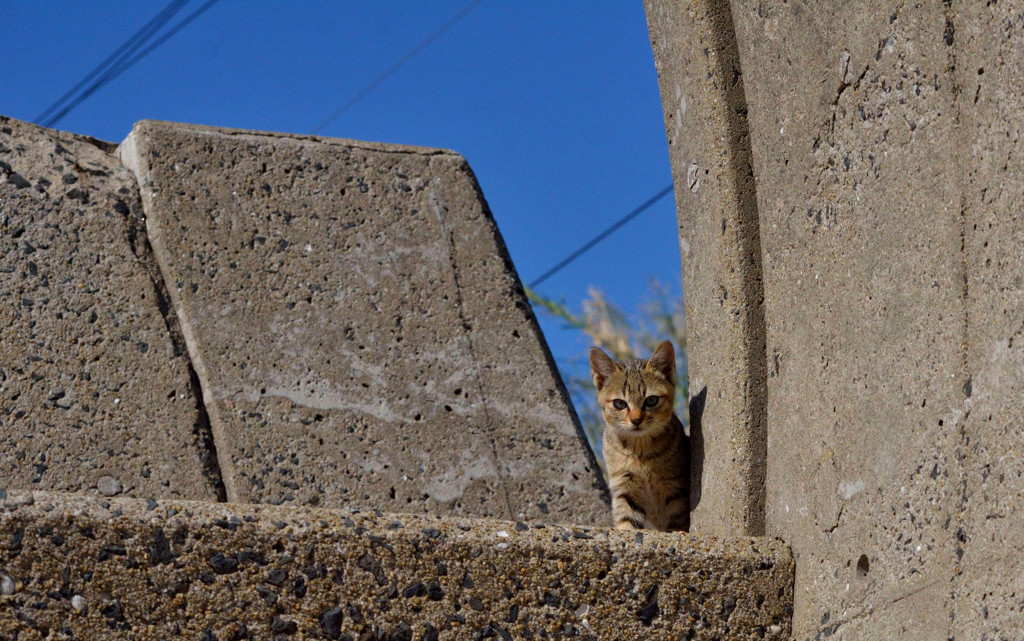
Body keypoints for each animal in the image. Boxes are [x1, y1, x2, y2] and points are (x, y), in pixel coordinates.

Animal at [593, 339, 688, 528]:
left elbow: (678, 523)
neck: (640, 451)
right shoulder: (624, 485)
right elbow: (627, 520)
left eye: (651, 400)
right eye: (619, 404)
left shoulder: (675, 488)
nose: (636, 420)